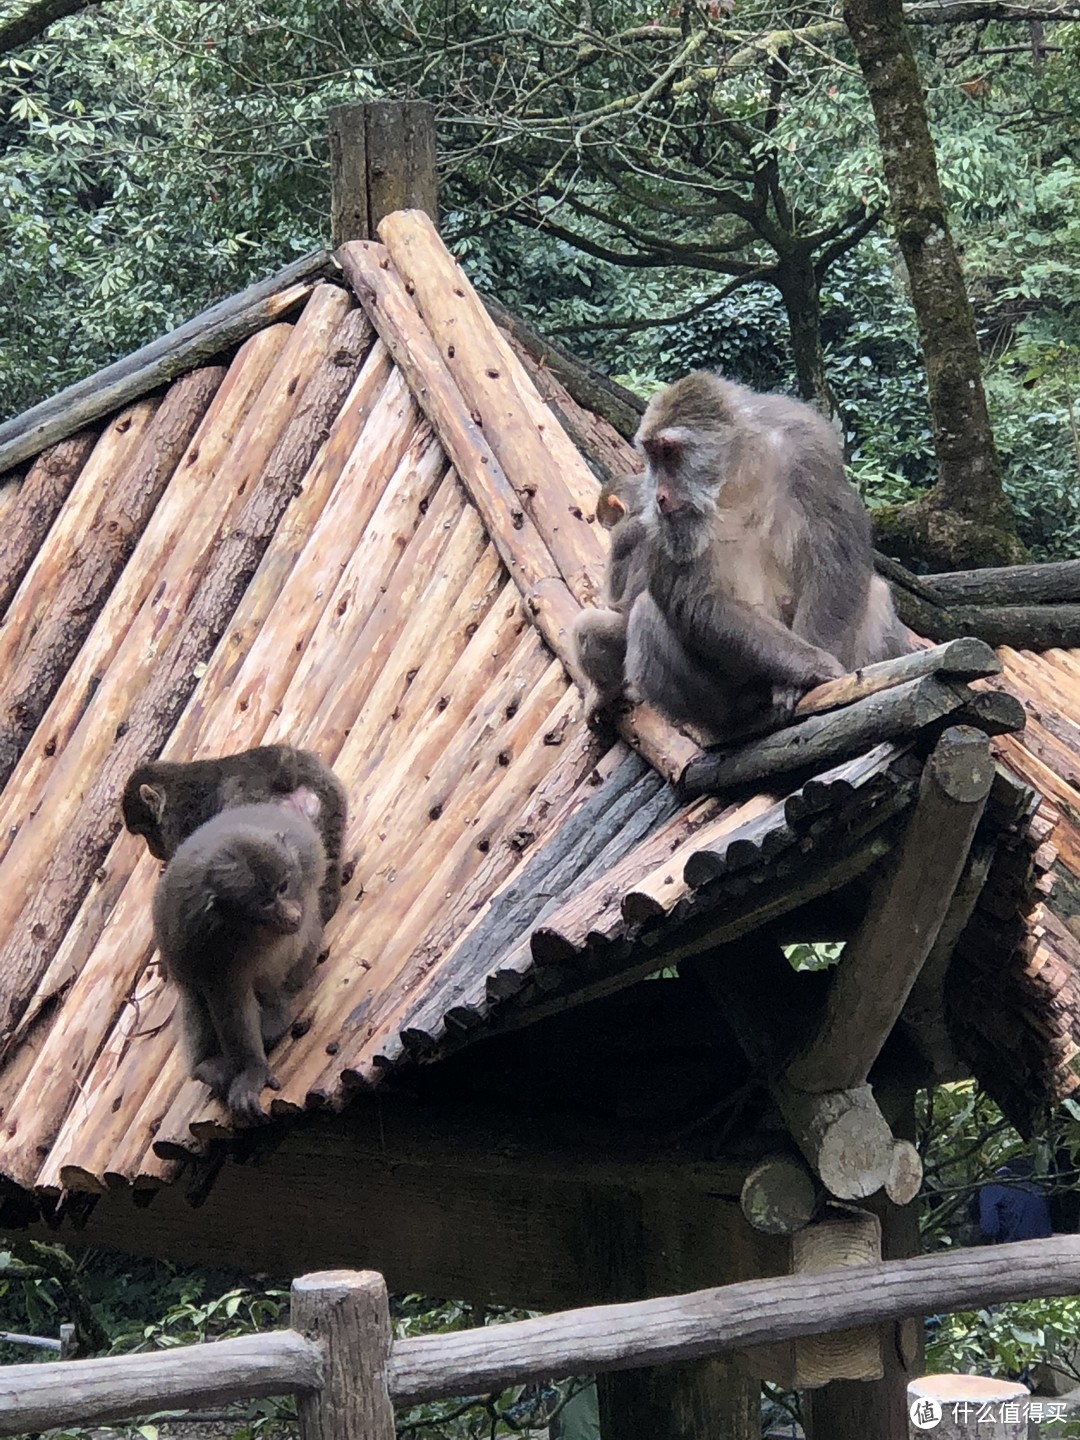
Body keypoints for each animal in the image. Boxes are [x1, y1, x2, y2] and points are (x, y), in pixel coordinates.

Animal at [153, 800, 325, 1123]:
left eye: (283, 886)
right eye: (265, 904)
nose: (290, 915)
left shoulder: (306, 858)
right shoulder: (205, 939)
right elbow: (227, 998)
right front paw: (253, 1070)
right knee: (194, 997)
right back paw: (208, 1064)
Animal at [624, 371, 915, 743]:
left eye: (669, 452)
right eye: (653, 456)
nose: (660, 495)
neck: (735, 473)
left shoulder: (809, 445)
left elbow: (836, 559)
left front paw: (811, 675)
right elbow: (698, 598)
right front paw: (810, 669)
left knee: (875, 593)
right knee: (645, 614)